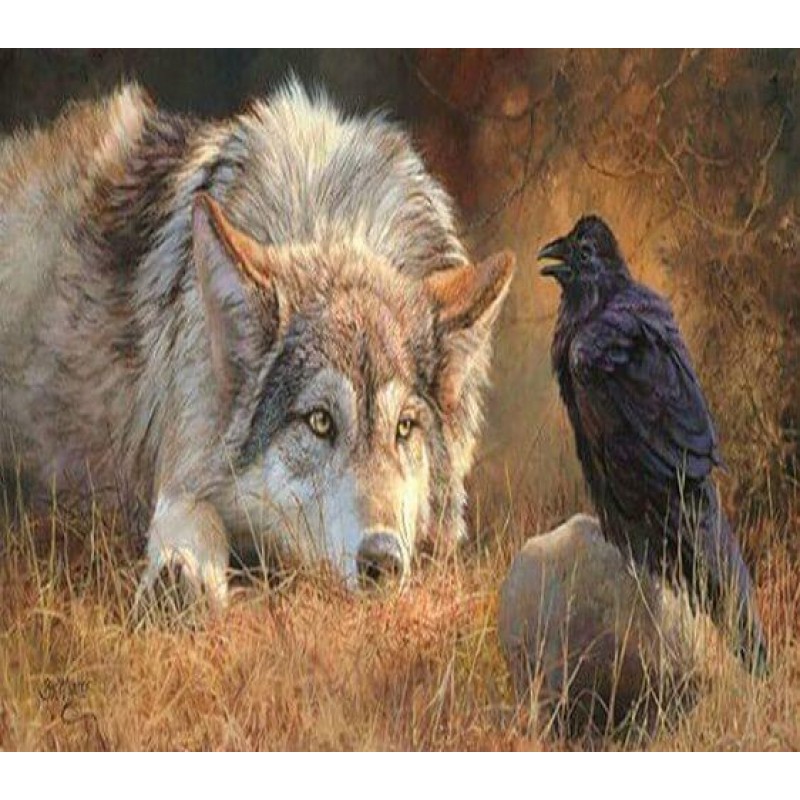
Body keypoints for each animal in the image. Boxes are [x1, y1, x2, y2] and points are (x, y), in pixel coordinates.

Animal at [0, 81, 515, 606]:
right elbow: (195, 514)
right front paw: (182, 576)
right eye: (320, 422)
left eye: (405, 428)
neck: (325, 217)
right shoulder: (187, 457)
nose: (383, 562)